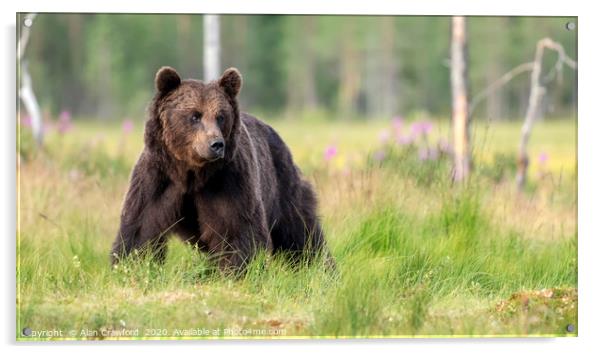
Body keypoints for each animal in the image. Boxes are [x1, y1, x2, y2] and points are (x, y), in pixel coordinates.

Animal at [110, 66, 330, 272]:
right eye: (195, 116)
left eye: (220, 116)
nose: (216, 144)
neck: (191, 173)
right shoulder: (157, 179)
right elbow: (141, 228)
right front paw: (132, 265)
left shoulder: (229, 182)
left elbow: (237, 229)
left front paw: (237, 270)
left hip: (281, 181)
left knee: (300, 229)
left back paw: (321, 267)